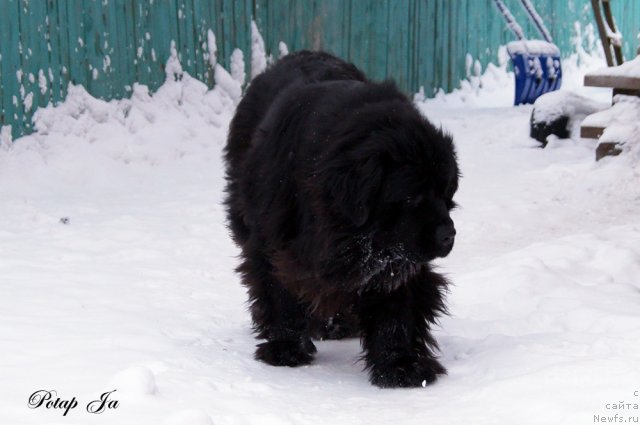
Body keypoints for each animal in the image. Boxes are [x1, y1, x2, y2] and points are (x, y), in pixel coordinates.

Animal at [225, 50, 460, 388]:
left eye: (446, 193)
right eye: (412, 196)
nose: (448, 235)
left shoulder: (395, 257)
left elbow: (398, 308)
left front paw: (400, 365)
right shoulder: (275, 241)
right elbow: (278, 288)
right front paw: (285, 349)